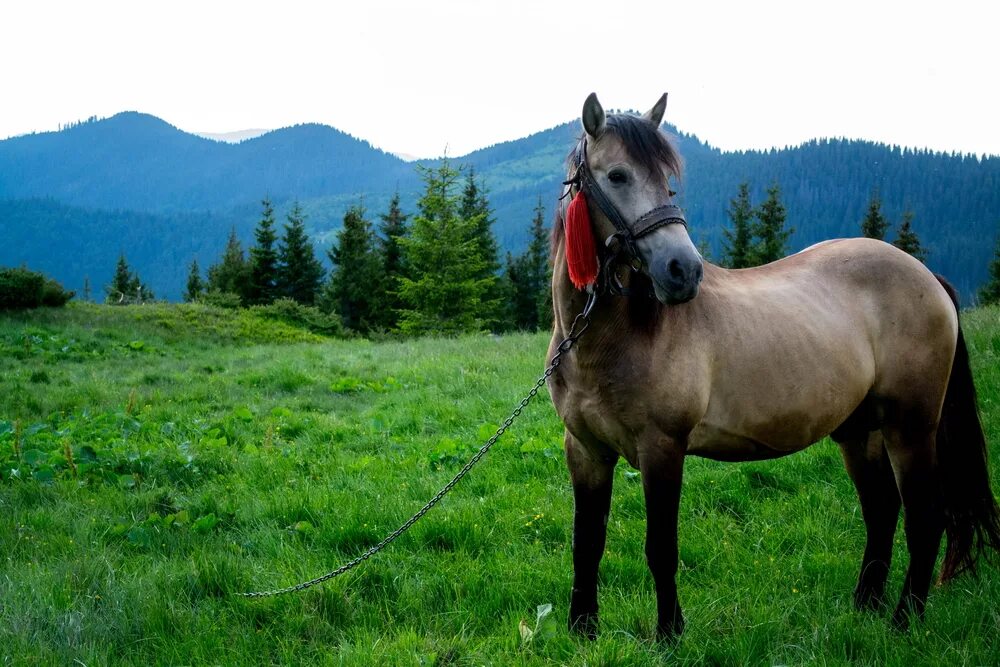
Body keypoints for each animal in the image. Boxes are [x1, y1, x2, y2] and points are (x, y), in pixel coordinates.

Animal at [548, 92, 1000, 640]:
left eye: (668, 180)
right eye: (617, 175)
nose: (683, 271)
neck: (611, 340)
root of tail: (928, 277)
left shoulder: (662, 449)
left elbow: (661, 550)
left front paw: (670, 635)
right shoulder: (586, 451)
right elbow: (586, 544)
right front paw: (582, 631)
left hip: (910, 428)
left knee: (924, 516)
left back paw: (903, 620)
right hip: (860, 431)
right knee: (882, 509)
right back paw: (864, 607)